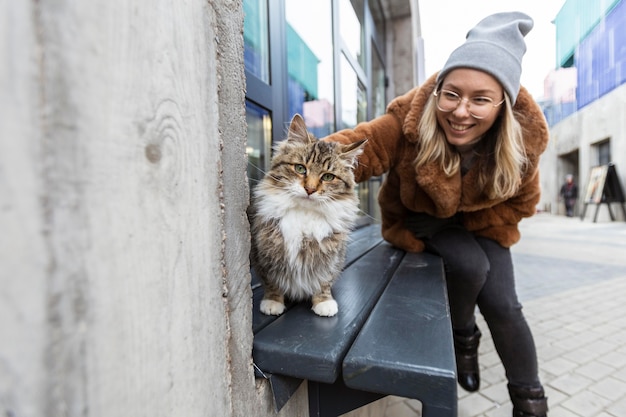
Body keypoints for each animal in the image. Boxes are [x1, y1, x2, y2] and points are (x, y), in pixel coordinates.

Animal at [249, 114, 366, 316]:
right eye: (300, 168)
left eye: (328, 177)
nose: (310, 189)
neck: (304, 213)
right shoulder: (265, 255)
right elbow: (272, 283)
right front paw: (272, 302)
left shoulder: (331, 257)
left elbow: (324, 281)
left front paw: (324, 303)